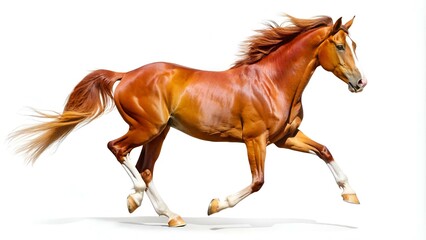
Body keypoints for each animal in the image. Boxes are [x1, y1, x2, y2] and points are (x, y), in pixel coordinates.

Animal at [11, 14, 368, 227]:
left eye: (354, 44)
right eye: (339, 46)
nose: (360, 82)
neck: (272, 83)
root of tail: (125, 75)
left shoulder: (285, 138)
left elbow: (324, 150)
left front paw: (350, 194)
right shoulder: (256, 140)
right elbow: (258, 181)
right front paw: (215, 205)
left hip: (159, 133)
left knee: (145, 168)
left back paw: (171, 216)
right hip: (146, 128)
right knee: (118, 149)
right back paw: (134, 198)